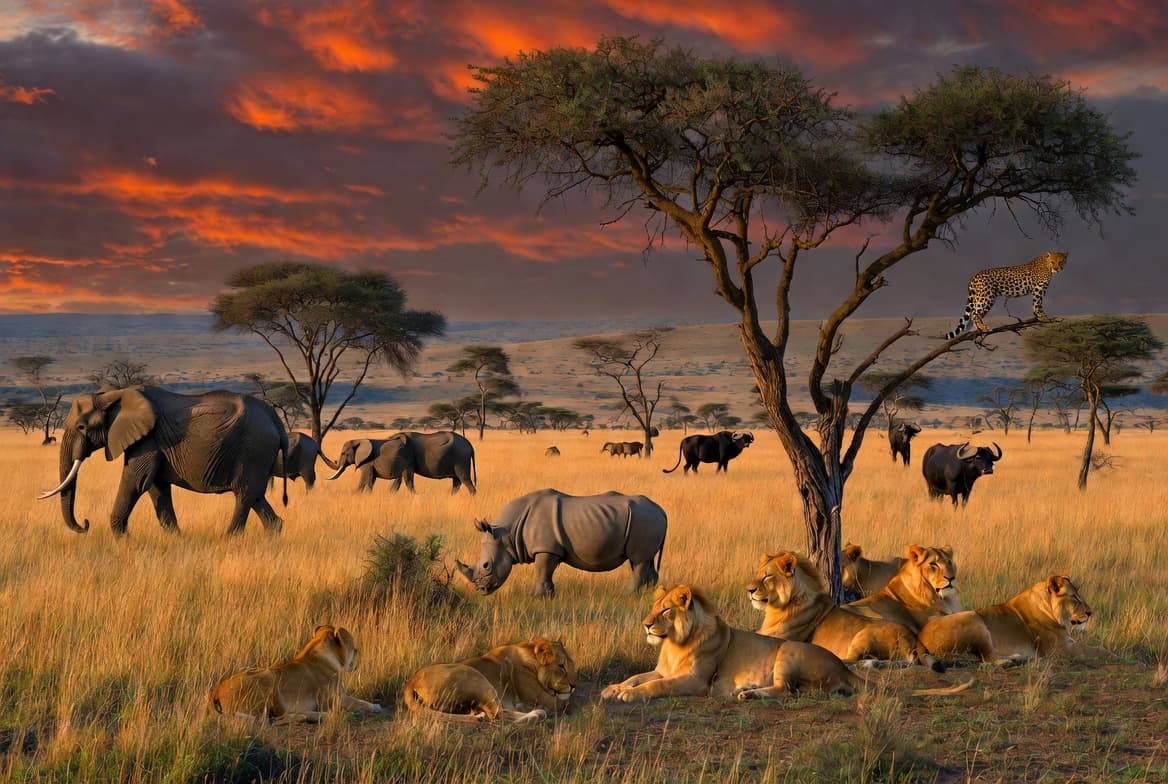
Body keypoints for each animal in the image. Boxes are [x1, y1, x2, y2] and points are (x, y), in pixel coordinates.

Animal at [210, 625, 382, 724]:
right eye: (355, 650)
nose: (358, 663)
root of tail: (216, 692)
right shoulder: (336, 698)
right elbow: (360, 702)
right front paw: (375, 706)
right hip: (270, 677)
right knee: (272, 719)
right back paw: (316, 716)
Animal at [403, 638, 577, 722]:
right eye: (561, 666)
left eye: (571, 665)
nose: (574, 686)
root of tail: (410, 683)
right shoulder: (547, 699)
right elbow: (566, 702)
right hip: (475, 677)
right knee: (497, 714)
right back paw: (536, 713)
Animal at [748, 551, 945, 673]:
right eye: (758, 574)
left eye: (768, 576)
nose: (749, 590)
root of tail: (914, 638)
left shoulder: (777, 638)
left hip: (862, 636)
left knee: (849, 660)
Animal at [918, 575, 1117, 665]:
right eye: (1074, 597)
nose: (1090, 613)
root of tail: (920, 639)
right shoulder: (1061, 649)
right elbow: (1095, 650)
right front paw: (1114, 656)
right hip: (974, 618)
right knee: (987, 658)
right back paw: (1009, 661)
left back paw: (1019, 657)